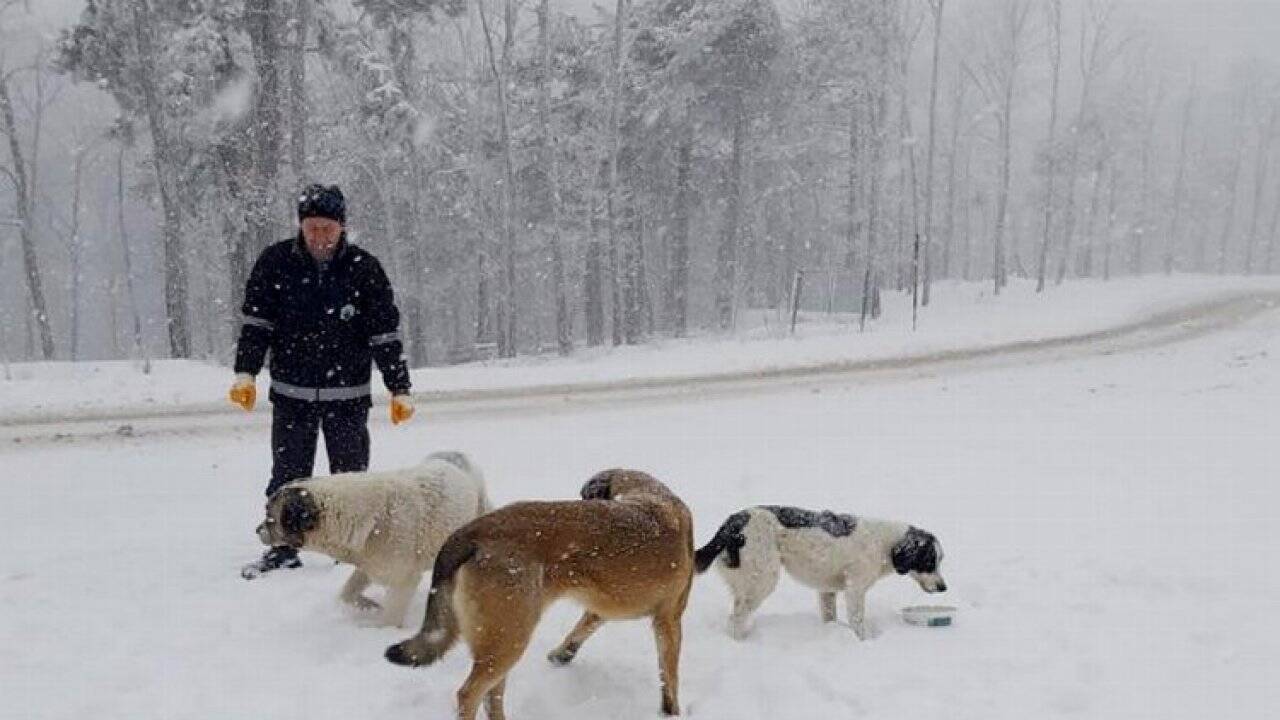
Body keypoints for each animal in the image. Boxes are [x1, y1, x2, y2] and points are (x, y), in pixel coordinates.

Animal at [253, 448, 488, 622]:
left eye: (270, 516)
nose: (257, 530)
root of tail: (452, 455)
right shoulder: (369, 565)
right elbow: (347, 593)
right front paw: (371, 606)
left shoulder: (403, 579)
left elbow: (391, 615)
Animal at [384, 468, 696, 717]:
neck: (651, 494)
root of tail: (472, 531)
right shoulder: (669, 620)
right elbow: (670, 678)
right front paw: (672, 712)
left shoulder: (601, 608)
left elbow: (581, 628)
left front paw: (563, 655)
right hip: (510, 637)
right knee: (468, 695)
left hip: (503, 638)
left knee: (491, 696)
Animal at [696, 504, 947, 638]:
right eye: (929, 561)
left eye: (939, 560)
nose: (944, 587)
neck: (884, 543)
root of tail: (731, 523)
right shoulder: (855, 589)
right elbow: (858, 621)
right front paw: (864, 642)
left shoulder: (827, 590)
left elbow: (829, 617)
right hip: (763, 579)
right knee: (735, 619)